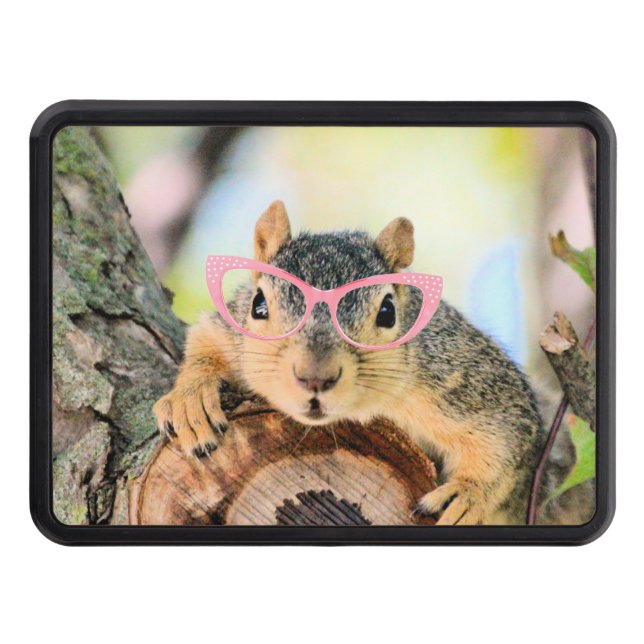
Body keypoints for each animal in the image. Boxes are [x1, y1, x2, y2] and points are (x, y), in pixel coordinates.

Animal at [154, 200, 550, 525]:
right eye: (258, 305)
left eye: (388, 312)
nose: (315, 378)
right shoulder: (232, 330)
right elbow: (206, 339)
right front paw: (191, 399)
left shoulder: (461, 377)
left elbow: (505, 435)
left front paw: (467, 494)